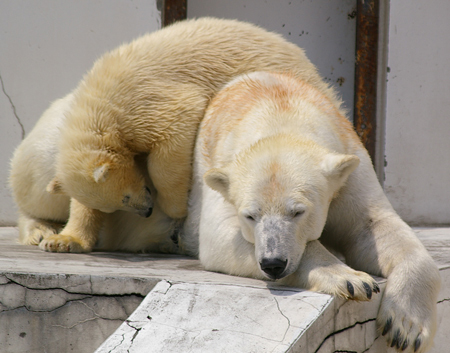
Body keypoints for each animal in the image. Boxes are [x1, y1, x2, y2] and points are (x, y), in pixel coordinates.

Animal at [9, 17, 338, 253]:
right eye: (119, 200)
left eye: (127, 196)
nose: (146, 210)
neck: (104, 97)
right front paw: (65, 241)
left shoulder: (150, 101)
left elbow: (173, 137)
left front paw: (176, 206)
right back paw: (41, 231)